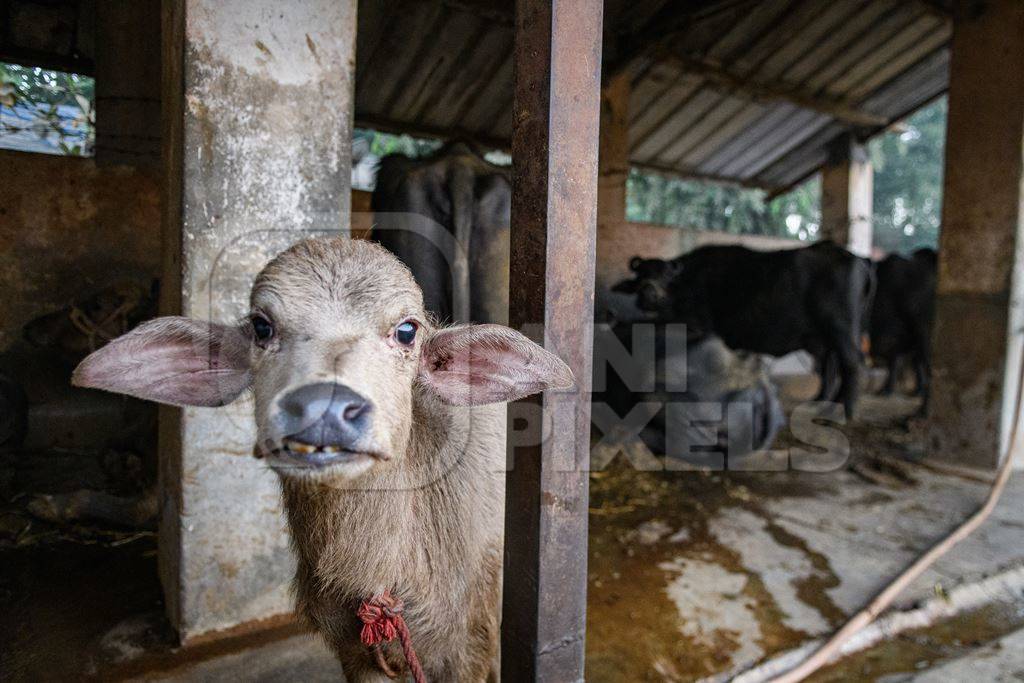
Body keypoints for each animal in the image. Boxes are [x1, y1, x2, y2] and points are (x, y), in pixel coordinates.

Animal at [610, 242, 876, 419]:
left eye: (666, 275)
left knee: (852, 363)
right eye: (641, 274)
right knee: (830, 364)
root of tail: (857, 260)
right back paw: (820, 403)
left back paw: (843, 412)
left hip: (840, 328)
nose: (648, 294)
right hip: (821, 337)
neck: (688, 285)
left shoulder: (697, 326)